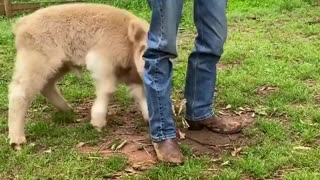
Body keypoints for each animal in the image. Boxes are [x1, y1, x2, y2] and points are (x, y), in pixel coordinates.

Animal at [7, 3, 150, 149]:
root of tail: (22, 23)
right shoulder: (101, 61)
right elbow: (108, 90)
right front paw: (98, 123)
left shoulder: (133, 75)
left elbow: (142, 94)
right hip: (35, 60)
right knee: (20, 93)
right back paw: (17, 140)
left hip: (59, 65)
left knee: (46, 86)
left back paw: (67, 109)